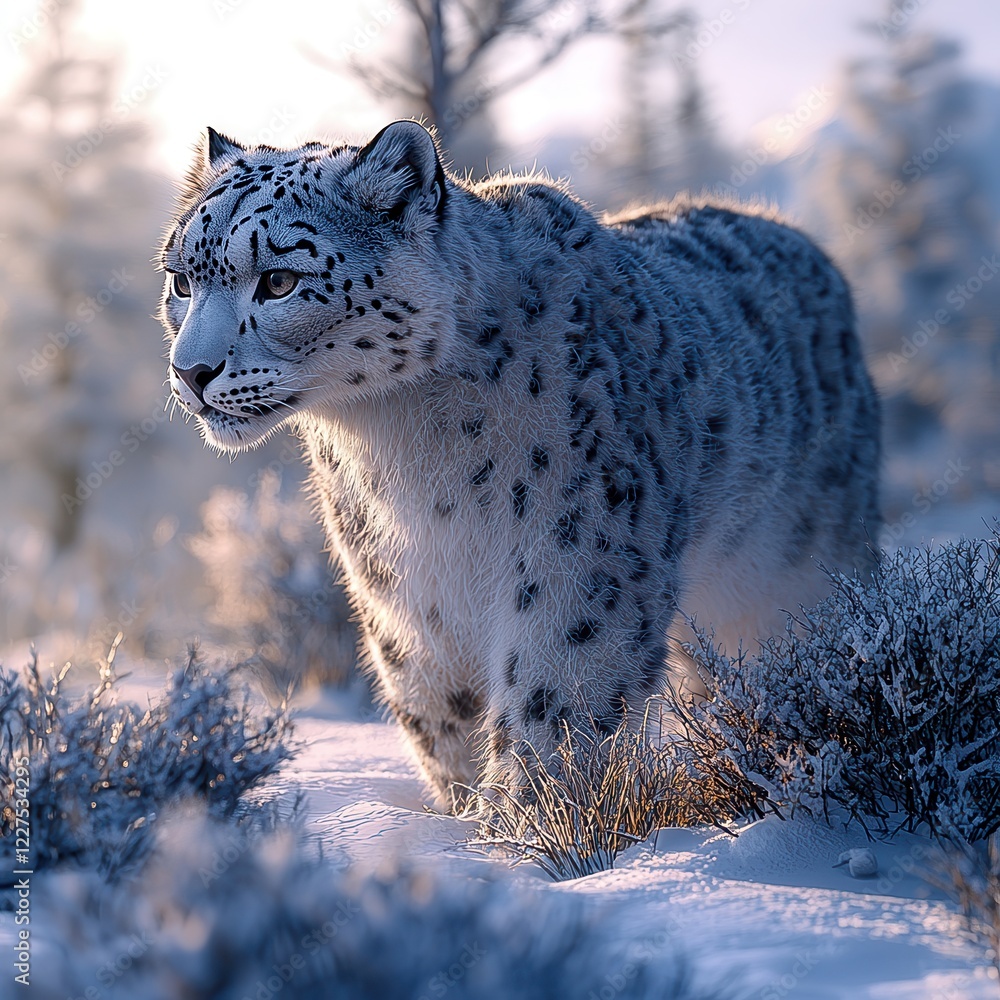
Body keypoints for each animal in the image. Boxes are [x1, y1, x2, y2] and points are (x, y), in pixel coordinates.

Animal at [158, 120, 880, 811]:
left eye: (279, 281)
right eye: (182, 280)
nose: (190, 371)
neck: (411, 452)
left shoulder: (582, 561)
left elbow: (557, 700)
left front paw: (529, 822)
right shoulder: (406, 588)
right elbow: (440, 708)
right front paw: (466, 813)